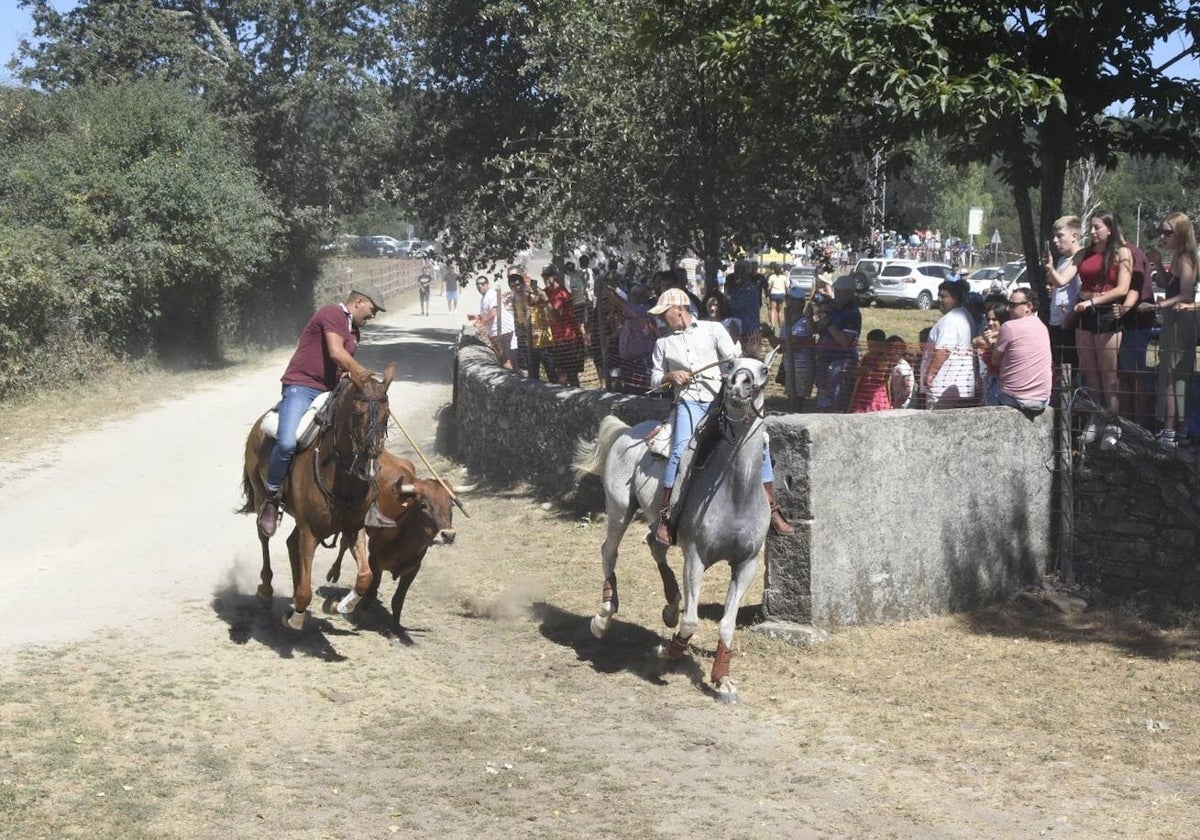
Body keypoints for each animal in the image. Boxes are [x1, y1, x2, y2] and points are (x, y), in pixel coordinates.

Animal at [240, 364, 398, 628]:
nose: (368, 469)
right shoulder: (311, 532)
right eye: (358, 414)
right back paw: (266, 590)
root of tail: (259, 424)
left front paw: (338, 605)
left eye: (387, 416)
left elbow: (365, 577)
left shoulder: (353, 528)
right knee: (264, 536)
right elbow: (306, 591)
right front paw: (295, 618)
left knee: (290, 543)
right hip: (262, 497)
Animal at [328, 453, 458, 638]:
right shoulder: (375, 559)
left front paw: (396, 627)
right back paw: (334, 572)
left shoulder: (413, 568)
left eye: (451, 505)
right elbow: (373, 587)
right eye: (423, 504)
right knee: (344, 543)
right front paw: (364, 607)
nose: (448, 535)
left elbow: (398, 599)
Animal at [571, 355, 768, 700]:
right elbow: (690, 622)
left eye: (764, 370)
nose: (739, 385)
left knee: (655, 543)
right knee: (609, 551)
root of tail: (629, 430)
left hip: (652, 522)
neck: (737, 494)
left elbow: (727, 624)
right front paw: (668, 651)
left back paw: (670, 605)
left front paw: (723, 680)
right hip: (619, 510)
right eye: (730, 366)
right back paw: (604, 616)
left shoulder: (747, 565)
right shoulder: (695, 558)